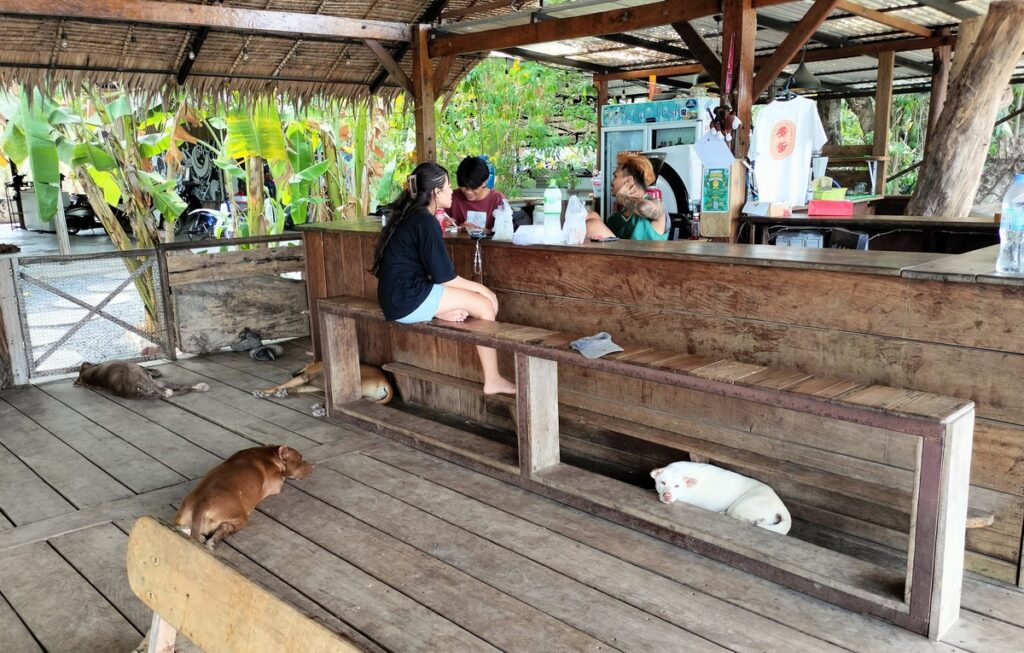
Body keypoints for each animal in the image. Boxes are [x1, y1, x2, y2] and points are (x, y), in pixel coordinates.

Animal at [175, 446, 311, 548]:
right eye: (300, 458)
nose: (313, 466)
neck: (269, 454)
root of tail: (201, 504)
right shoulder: (277, 484)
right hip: (240, 515)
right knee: (226, 527)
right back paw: (212, 542)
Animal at [251, 364, 391, 405]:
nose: (292, 373)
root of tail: (385, 382)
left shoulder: (305, 376)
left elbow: (279, 385)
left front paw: (264, 391)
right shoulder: (310, 385)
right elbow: (298, 388)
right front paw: (285, 391)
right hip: (370, 398)